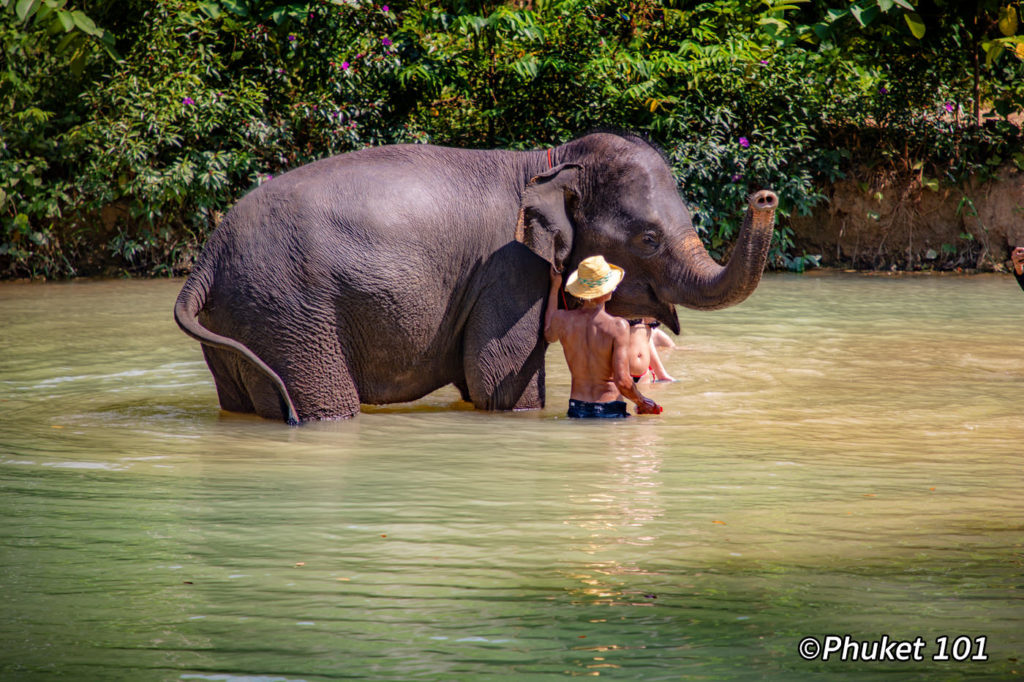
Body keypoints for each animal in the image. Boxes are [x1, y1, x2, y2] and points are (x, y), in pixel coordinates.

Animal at [174, 130, 774, 421]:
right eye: (648, 239)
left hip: (245, 321)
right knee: (324, 405)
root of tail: (206, 259)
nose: (764, 196)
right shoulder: (507, 269)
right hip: (290, 316)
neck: (549, 160)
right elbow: (498, 383)